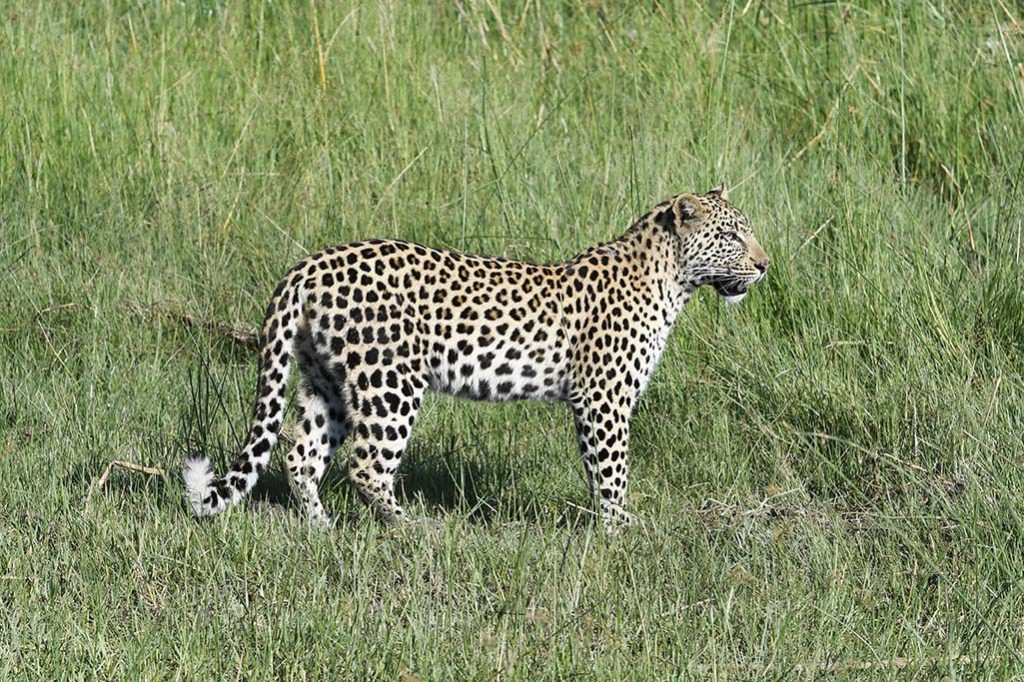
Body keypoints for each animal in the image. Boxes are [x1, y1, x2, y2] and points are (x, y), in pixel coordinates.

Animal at [184, 186, 770, 532]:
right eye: (731, 235)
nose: (765, 265)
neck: (672, 281)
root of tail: (309, 263)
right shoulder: (603, 400)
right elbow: (612, 472)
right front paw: (620, 532)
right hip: (390, 383)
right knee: (366, 467)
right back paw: (415, 530)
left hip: (328, 381)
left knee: (301, 456)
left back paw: (320, 528)